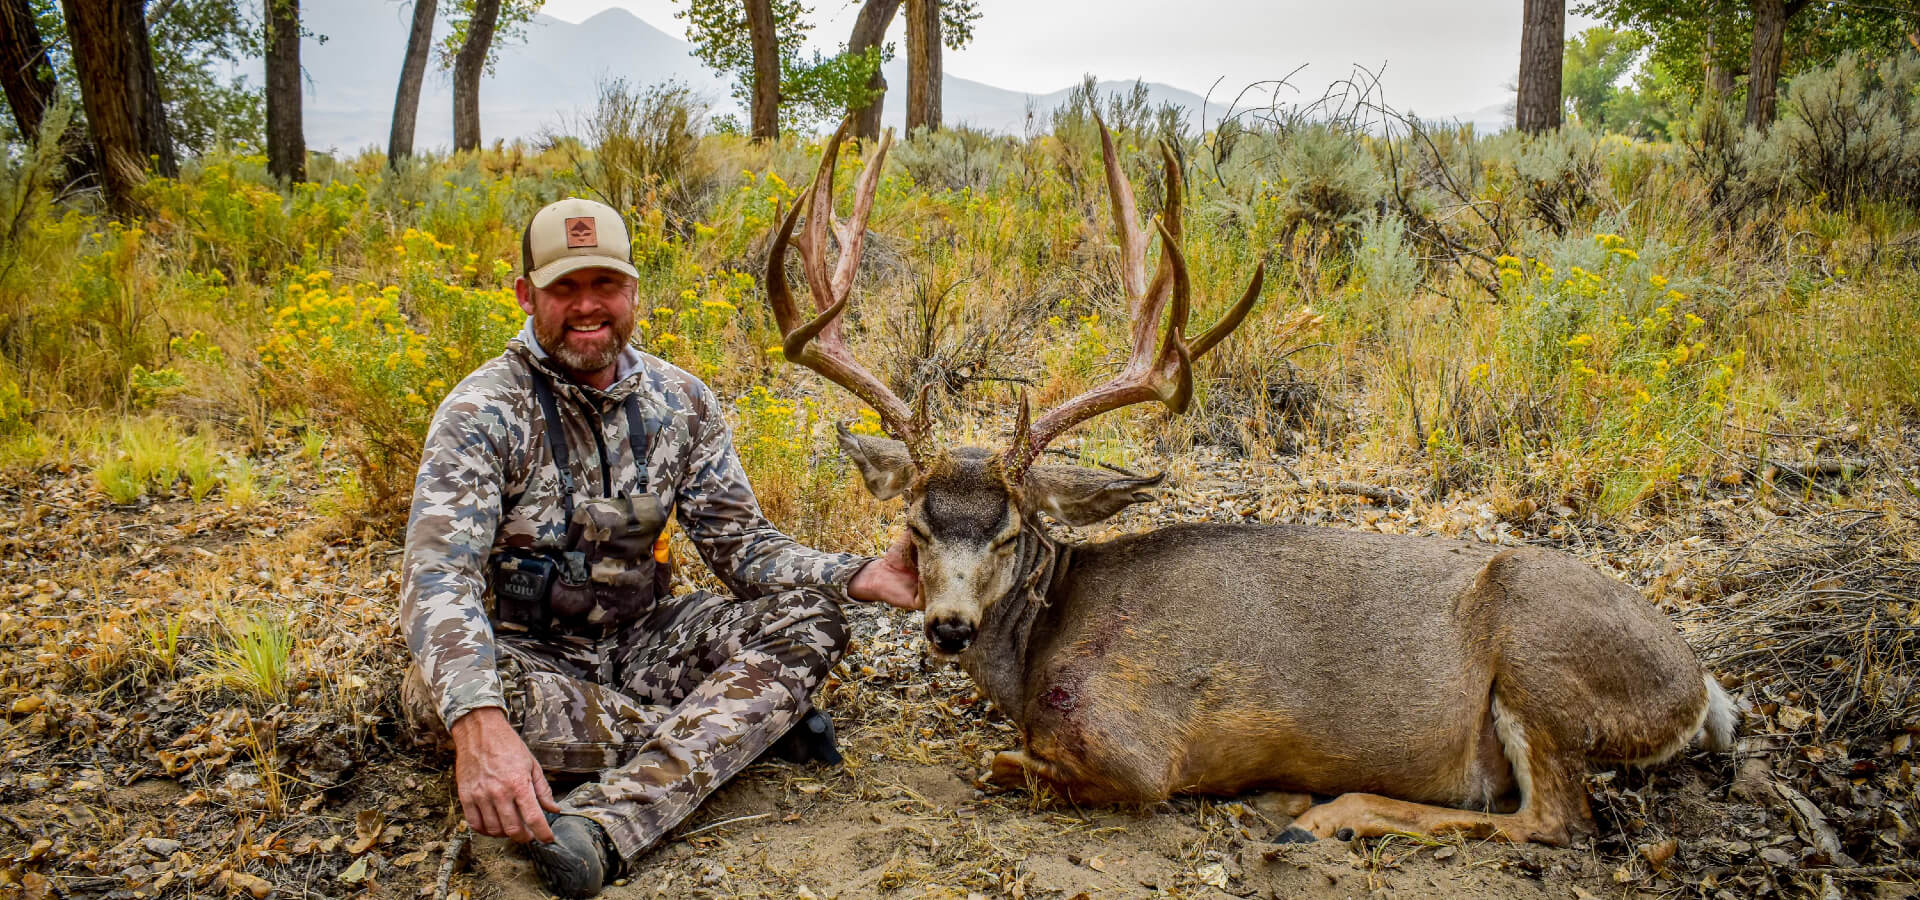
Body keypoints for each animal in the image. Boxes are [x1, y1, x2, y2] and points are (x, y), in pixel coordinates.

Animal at [761, 118, 1738, 846]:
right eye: (917, 529)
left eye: (1009, 532)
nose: (950, 628)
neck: (1044, 641)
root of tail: (1701, 688)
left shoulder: (1134, 744)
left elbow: (1010, 765)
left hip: (1542, 662)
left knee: (1551, 819)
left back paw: (1329, 811)